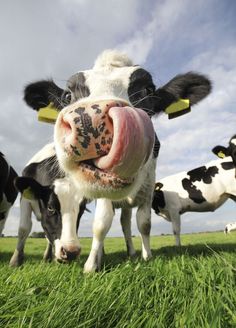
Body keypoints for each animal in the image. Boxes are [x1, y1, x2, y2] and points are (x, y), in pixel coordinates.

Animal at [23, 48, 211, 270]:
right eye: (68, 95)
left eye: (148, 89)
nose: (90, 119)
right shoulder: (102, 190)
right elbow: (101, 224)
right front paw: (91, 266)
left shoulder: (148, 188)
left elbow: (144, 223)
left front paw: (146, 256)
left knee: (126, 223)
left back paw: (131, 252)